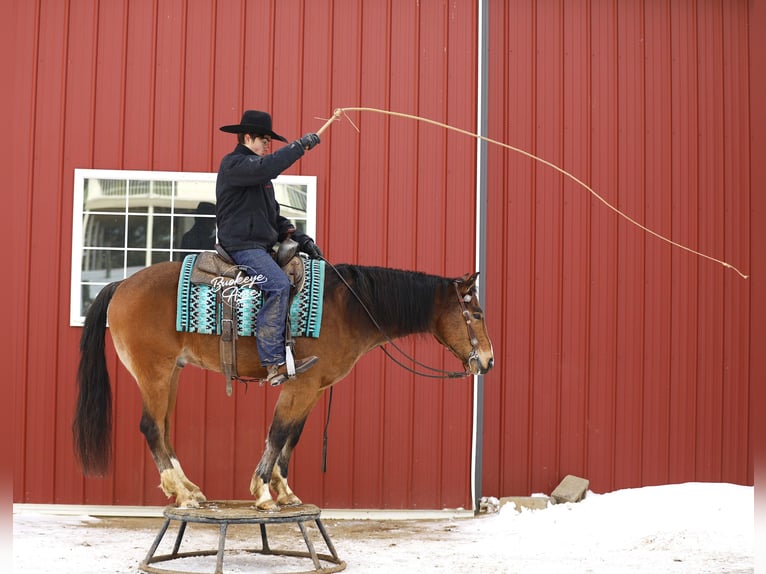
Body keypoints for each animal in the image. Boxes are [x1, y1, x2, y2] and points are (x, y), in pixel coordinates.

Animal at [73, 259, 494, 510]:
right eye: (475, 313)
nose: (489, 361)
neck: (348, 309)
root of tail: (122, 284)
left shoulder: (313, 389)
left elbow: (292, 435)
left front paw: (285, 491)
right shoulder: (300, 385)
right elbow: (277, 433)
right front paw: (262, 493)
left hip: (172, 374)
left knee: (163, 429)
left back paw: (189, 489)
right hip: (154, 374)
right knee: (150, 427)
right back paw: (181, 494)